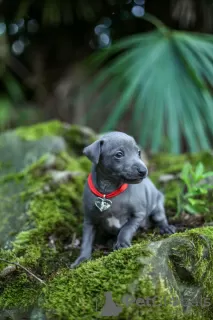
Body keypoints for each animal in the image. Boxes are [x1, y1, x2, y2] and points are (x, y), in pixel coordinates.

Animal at [70, 131, 174, 268]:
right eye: (119, 154)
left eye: (138, 152)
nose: (143, 171)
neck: (108, 191)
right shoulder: (89, 220)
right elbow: (86, 241)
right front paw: (82, 259)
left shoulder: (138, 214)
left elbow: (126, 228)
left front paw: (122, 243)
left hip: (157, 207)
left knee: (160, 218)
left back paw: (166, 228)